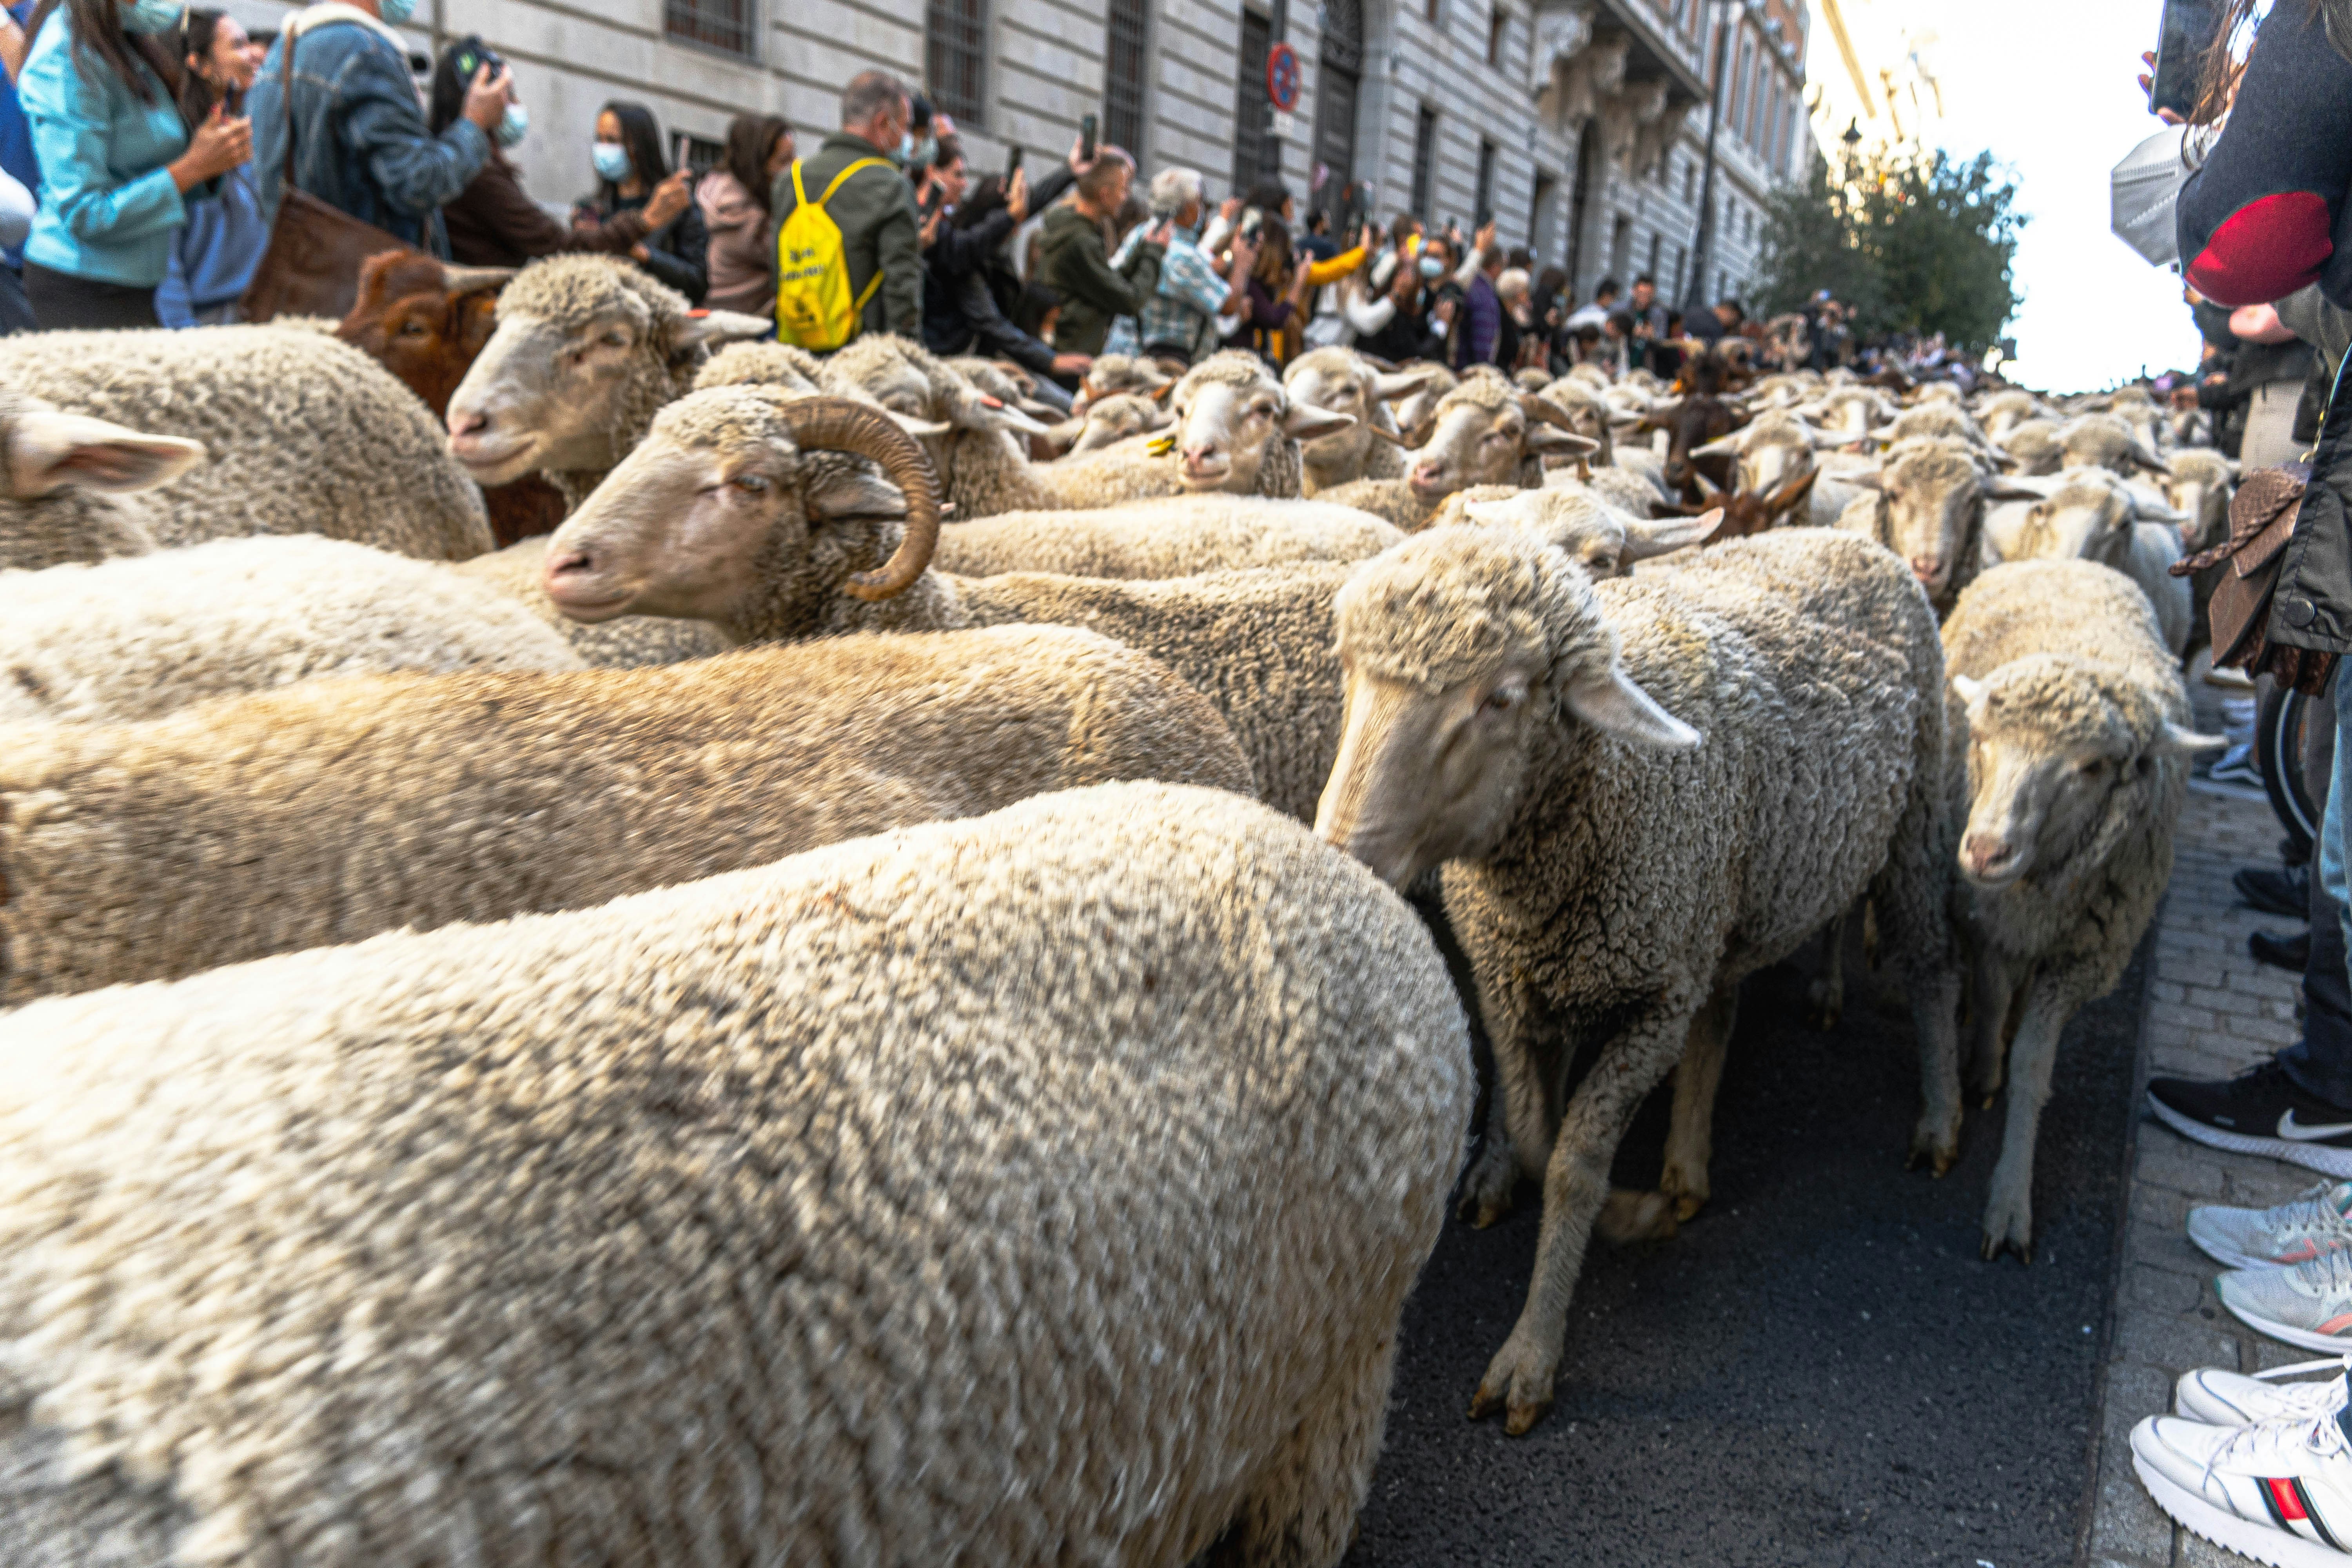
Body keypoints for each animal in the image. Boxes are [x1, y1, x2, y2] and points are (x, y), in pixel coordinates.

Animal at [1313, 524, 1960, 1434]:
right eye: (1346, 667)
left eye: (1501, 698)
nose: (1343, 857)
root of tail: (1848, 535)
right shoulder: (1510, 983)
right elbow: (1533, 1124)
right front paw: (1593, 1196)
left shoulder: (1651, 1005)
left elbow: (1574, 1161)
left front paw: (1539, 1343)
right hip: (1715, 902)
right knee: (1721, 1007)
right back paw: (1686, 1166)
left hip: (1915, 813)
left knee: (1932, 961)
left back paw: (1941, 1120)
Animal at [1942, 560, 2221, 1258]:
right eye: (1981, 741)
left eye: (2092, 767)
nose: (1986, 850)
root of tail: (2074, 562)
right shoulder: (1990, 921)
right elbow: (1991, 999)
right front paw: (1981, 1070)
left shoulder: (2083, 961)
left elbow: (2033, 1066)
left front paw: (2010, 1201)